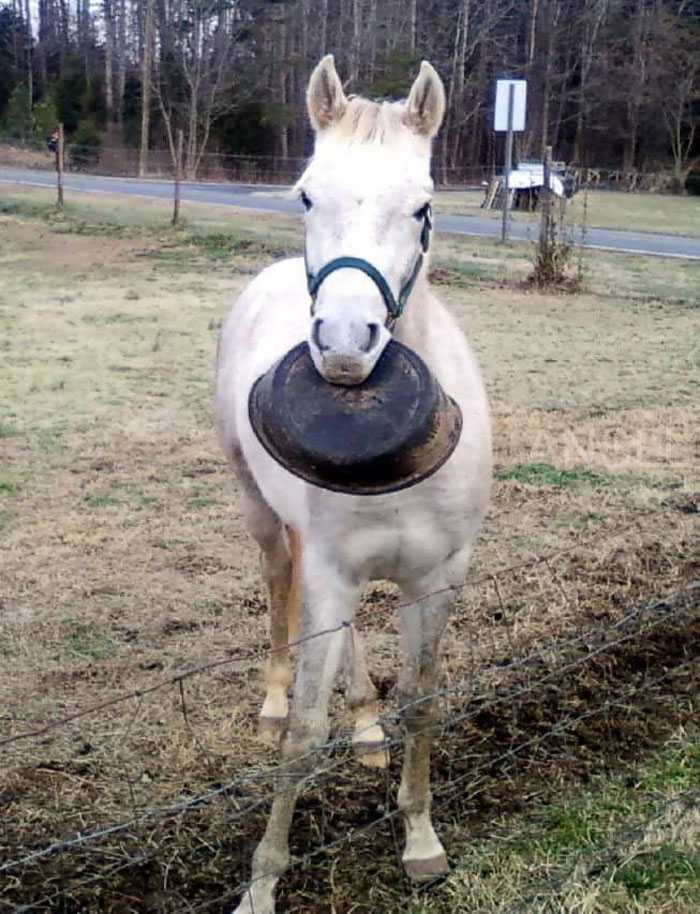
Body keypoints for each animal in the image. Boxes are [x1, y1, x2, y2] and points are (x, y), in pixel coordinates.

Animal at [216, 55, 490, 912]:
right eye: (307, 194)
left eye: (423, 206)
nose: (342, 343)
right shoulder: (334, 571)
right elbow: (306, 734)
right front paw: (262, 881)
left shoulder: (437, 576)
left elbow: (422, 701)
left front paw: (422, 839)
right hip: (258, 509)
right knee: (278, 582)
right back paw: (273, 700)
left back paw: (366, 722)